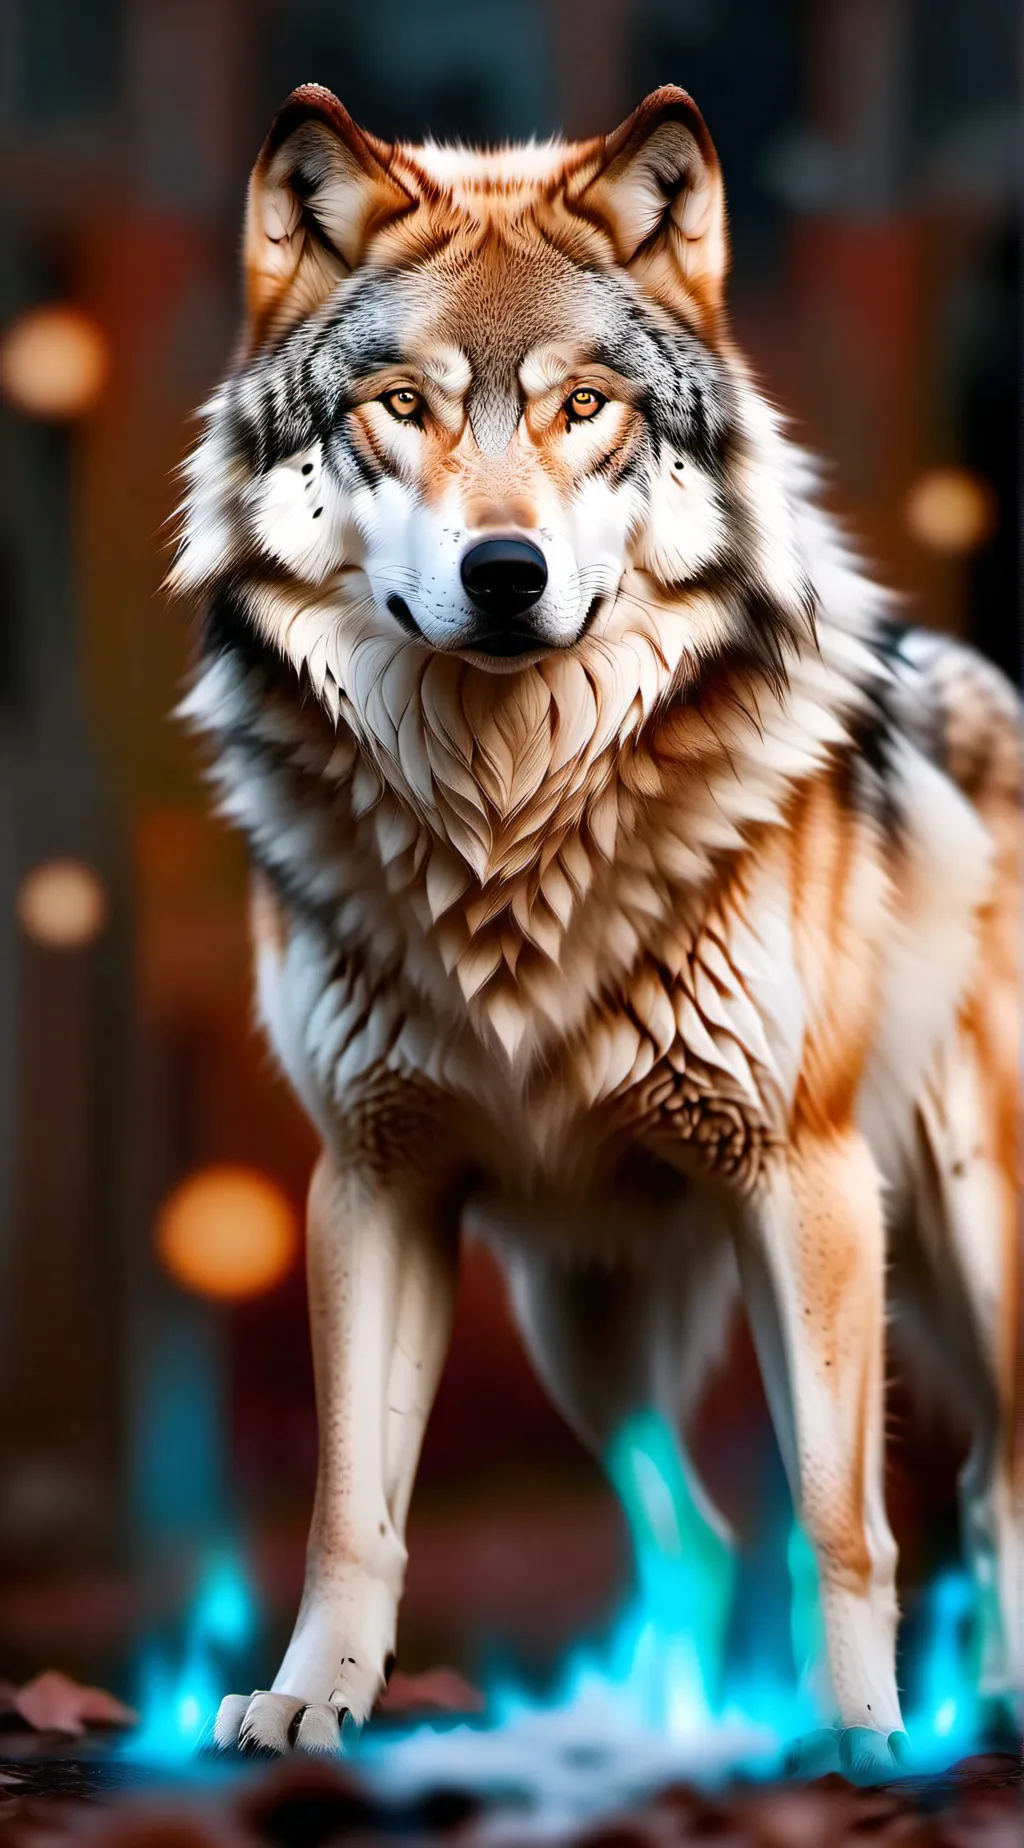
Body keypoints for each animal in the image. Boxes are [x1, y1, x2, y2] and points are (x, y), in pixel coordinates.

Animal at [171, 84, 1022, 1775]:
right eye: (401, 406)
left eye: (584, 409)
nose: (507, 574)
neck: (510, 824)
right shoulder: (372, 1178)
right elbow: (348, 1509)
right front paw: (310, 1699)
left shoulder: (805, 1176)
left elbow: (841, 1516)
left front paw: (862, 1743)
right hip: (583, 1318)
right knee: (693, 1532)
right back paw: (652, 1727)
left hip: (967, 1248)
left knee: (987, 1485)